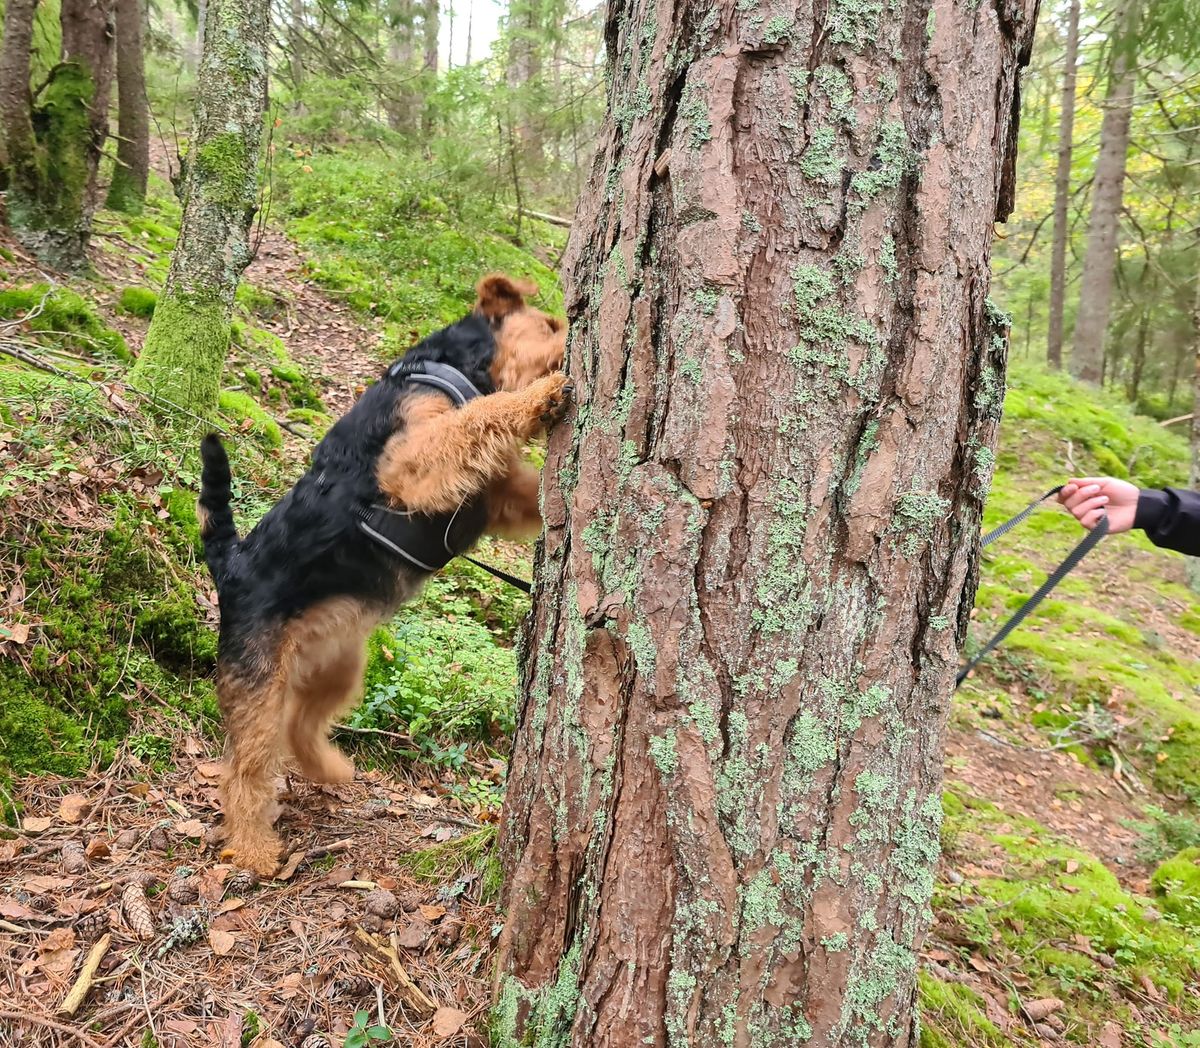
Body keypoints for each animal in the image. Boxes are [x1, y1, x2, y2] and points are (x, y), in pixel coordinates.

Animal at [196, 273, 571, 869]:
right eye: (550, 324)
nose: (573, 335)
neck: (447, 363)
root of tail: (228, 564)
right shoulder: (412, 461)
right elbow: (484, 414)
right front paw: (544, 395)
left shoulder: (499, 496)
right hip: (258, 685)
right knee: (243, 769)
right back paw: (255, 851)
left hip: (338, 664)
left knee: (302, 726)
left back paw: (332, 769)